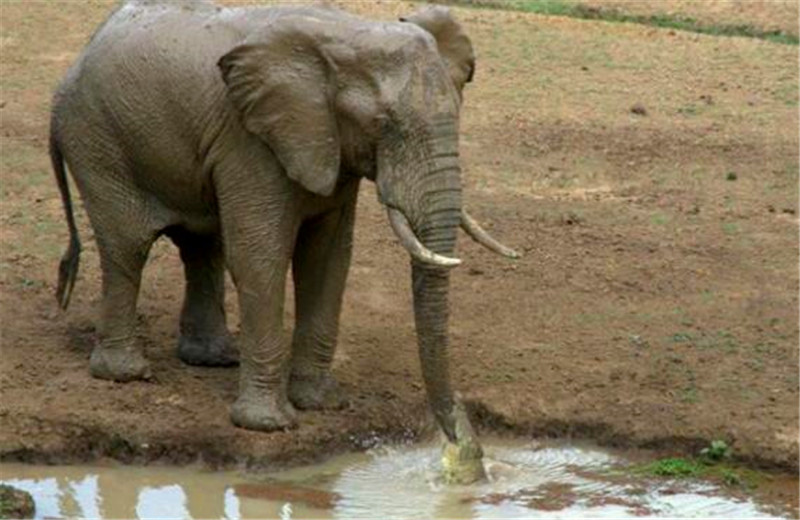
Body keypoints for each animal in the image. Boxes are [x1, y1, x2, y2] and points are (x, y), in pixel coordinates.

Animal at [50, 0, 516, 482]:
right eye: (382, 124)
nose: (462, 444)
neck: (348, 37)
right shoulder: (250, 140)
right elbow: (261, 258)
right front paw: (270, 425)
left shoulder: (326, 145)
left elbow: (328, 261)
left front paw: (322, 403)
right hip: (98, 144)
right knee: (128, 249)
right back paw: (126, 374)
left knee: (201, 245)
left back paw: (214, 358)